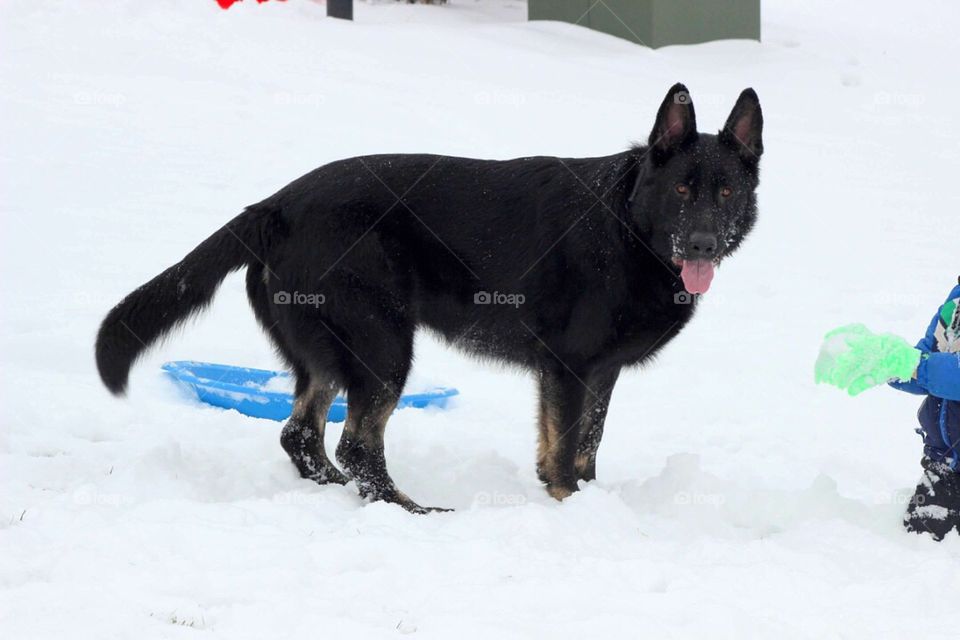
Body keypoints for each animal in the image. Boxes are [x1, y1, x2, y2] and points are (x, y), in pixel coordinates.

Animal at [95, 85, 756, 512]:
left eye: (725, 191)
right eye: (681, 190)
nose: (703, 243)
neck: (627, 224)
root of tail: (273, 206)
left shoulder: (596, 374)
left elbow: (585, 447)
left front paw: (587, 502)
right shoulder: (569, 369)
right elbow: (567, 450)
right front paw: (568, 507)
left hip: (332, 353)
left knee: (301, 436)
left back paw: (340, 494)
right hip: (384, 347)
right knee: (356, 444)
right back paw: (408, 511)